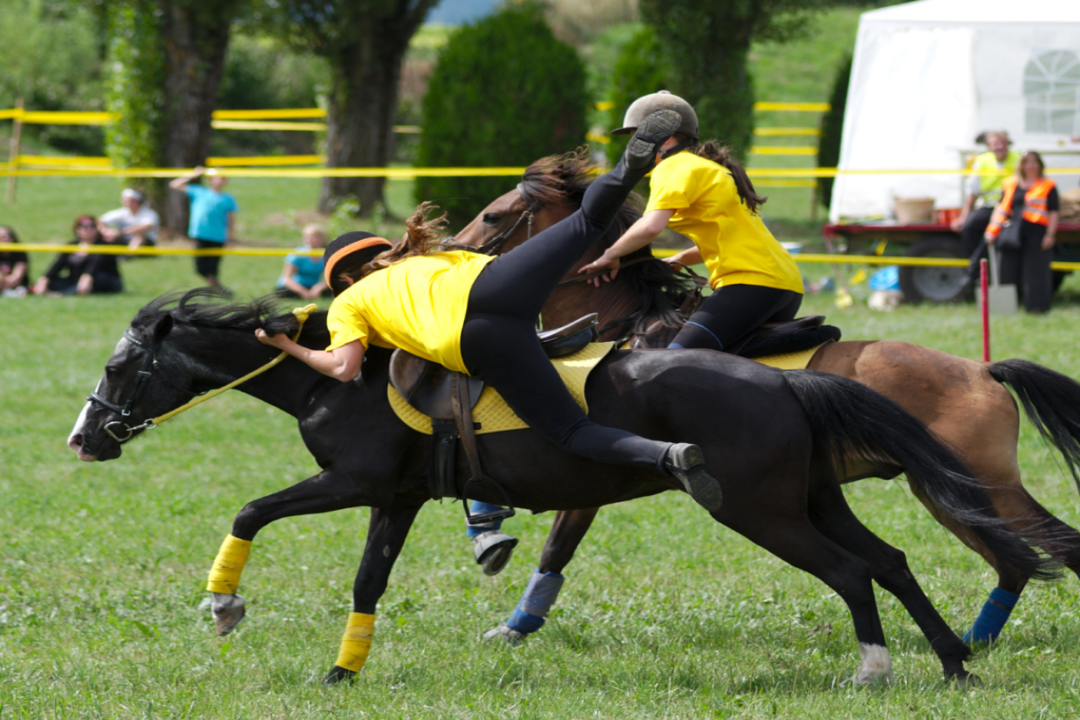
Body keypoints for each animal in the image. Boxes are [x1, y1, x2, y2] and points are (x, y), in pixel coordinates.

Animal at [65, 289, 1045, 686]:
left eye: (118, 367)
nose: (82, 438)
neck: (336, 375)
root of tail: (787, 382)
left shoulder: (350, 480)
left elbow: (252, 510)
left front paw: (224, 604)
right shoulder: (394, 498)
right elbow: (369, 580)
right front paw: (343, 671)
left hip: (763, 512)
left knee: (850, 573)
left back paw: (878, 667)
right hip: (815, 498)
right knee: (890, 560)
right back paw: (954, 659)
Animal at [451, 148, 1080, 643]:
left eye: (493, 214)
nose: (453, 251)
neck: (619, 325)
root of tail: (982, 370)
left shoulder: (589, 462)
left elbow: (555, 545)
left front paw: (512, 616)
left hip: (987, 485)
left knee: (1054, 546)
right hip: (945, 490)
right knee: (1015, 562)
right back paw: (974, 640)